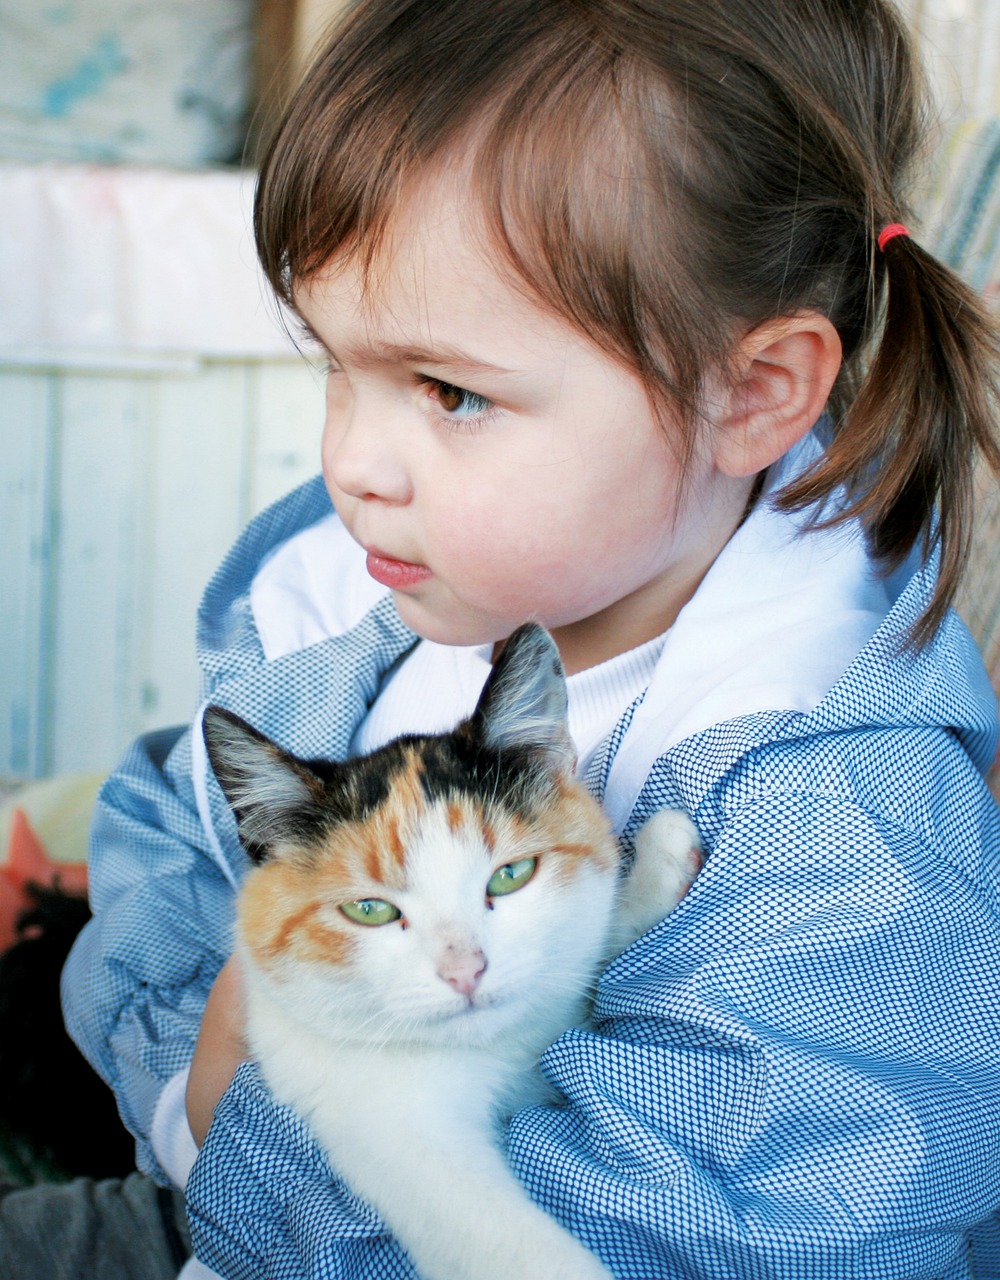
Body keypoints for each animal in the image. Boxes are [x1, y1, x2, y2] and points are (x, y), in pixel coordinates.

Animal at [202, 622, 701, 1280]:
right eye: (369, 910)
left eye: (511, 875)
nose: (466, 971)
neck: (497, 1053)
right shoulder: (388, 1129)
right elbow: (508, 1243)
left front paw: (655, 862)